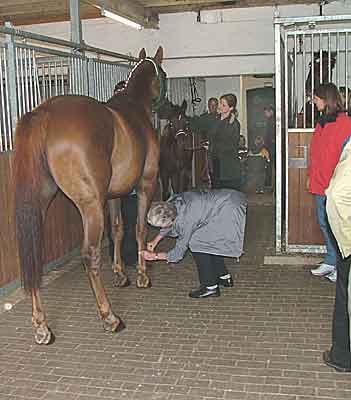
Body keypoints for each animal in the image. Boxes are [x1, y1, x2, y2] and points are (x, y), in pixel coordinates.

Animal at [13, 44, 166, 344]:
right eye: (163, 74)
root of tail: (45, 112)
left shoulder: (114, 195)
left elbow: (118, 229)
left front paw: (120, 274)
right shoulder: (145, 184)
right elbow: (139, 228)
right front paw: (142, 276)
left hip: (41, 203)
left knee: (35, 254)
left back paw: (42, 326)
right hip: (90, 205)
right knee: (89, 254)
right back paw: (110, 317)